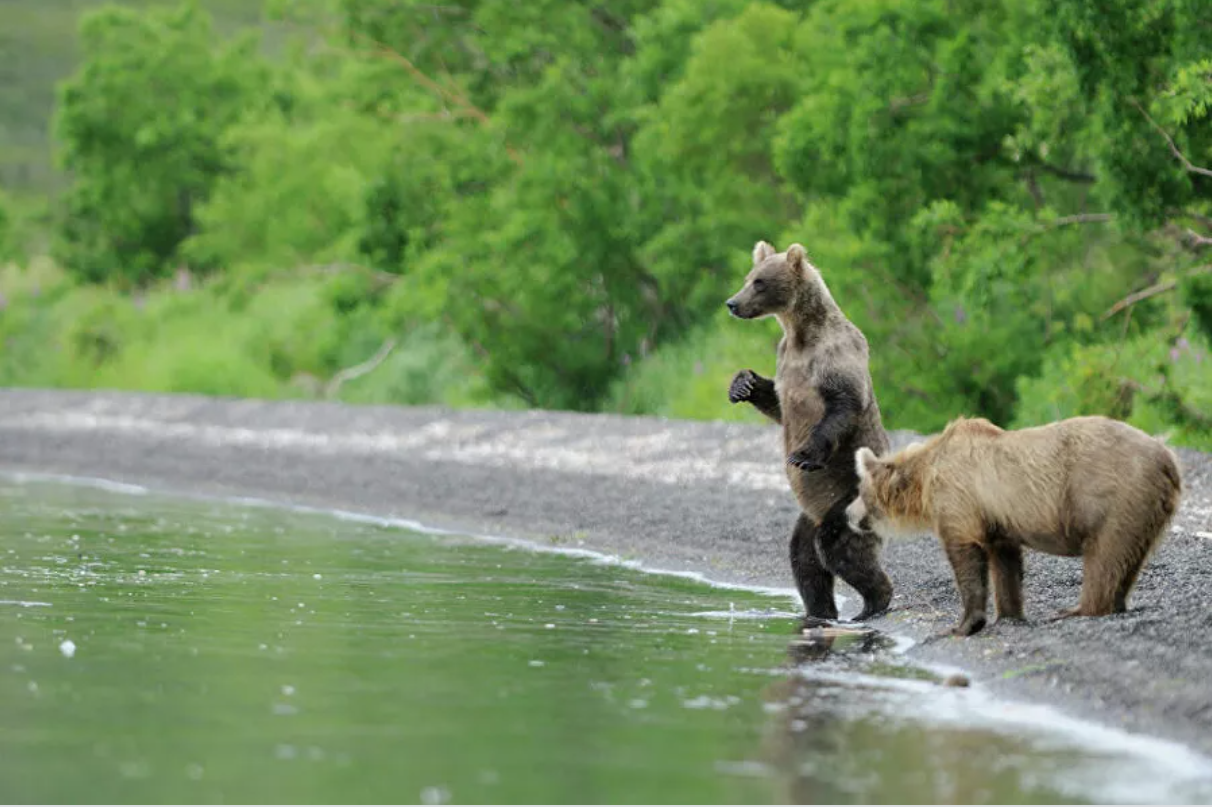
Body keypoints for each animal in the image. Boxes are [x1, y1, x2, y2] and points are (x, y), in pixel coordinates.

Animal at [722, 237, 896, 625]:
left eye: (759, 282)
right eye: (748, 277)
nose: (732, 303)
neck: (800, 331)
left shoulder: (833, 356)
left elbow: (843, 405)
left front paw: (803, 455)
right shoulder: (786, 361)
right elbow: (776, 402)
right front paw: (742, 384)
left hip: (849, 496)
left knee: (837, 546)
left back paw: (873, 603)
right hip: (811, 512)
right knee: (803, 558)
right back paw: (820, 611)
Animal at [843, 416, 1182, 639]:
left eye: (860, 491)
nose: (847, 513)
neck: (925, 481)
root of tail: (1168, 459)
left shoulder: (960, 500)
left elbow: (966, 558)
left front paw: (962, 625)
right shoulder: (997, 520)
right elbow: (1005, 565)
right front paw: (1008, 613)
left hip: (1112, 496)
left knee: (1104, 557)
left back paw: (1078, 609)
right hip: (1145, 510)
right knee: (1128, 559)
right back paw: (1115, 602)